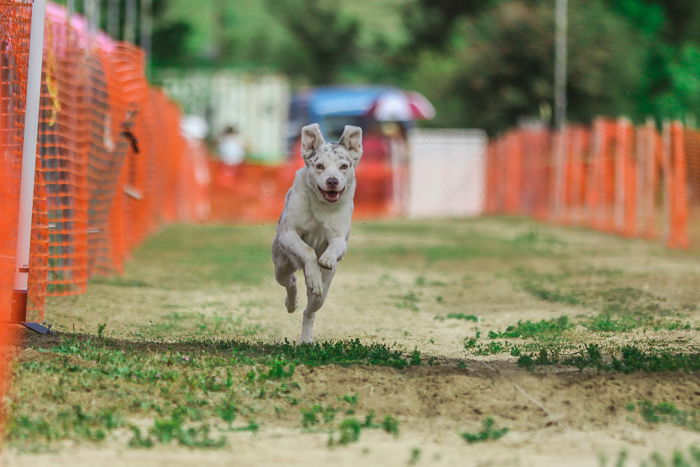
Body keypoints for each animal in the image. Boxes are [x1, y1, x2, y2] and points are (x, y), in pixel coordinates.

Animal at [272, 124, 364, 344]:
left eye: (344, 166)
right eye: (320, 166)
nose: (332, 181)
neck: (321, 205)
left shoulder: (339, 238)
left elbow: (335, 246)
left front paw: (327, 258)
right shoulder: (288, 234)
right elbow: (307, 249)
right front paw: (313, 272)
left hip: (322, 294)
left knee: (309, 311)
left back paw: (306, 339)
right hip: (281, 266)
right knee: (290, 282)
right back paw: (292, 303)